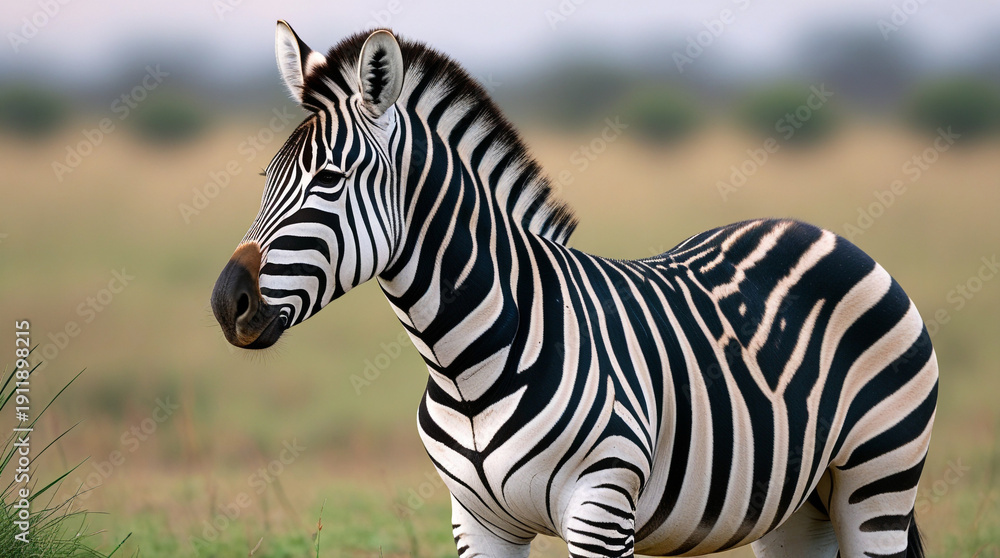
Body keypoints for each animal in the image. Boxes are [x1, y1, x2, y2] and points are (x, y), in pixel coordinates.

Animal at [210, 22, 938, 558]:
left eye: (328, 180)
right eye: (267, 176)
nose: (226, 303)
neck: (466, 366)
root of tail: (819, 231)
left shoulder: (602, 507)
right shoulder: (478, 524)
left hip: (876, 483)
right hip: (796, 506)